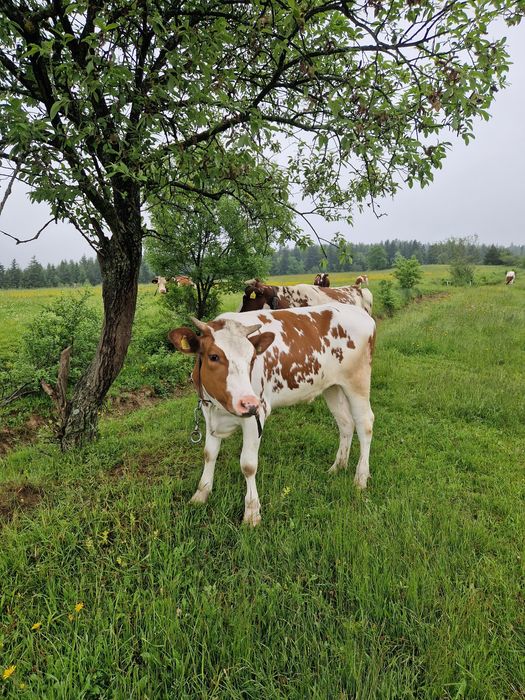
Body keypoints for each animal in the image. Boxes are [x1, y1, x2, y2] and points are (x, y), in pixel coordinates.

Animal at [170, 304, 374, 528]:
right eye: (213, 356)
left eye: (252, 359)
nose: (248, 403)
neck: (219, 408)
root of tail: (360, 311)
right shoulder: (209, 414)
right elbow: (209, 454)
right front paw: (201, 493)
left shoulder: (256, 416)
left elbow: (248, 465)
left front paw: (252, 512)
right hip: (332, 386)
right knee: (345, 423)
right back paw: (338, 466)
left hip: (358, 381)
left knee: (365, 424)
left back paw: (361, 478)